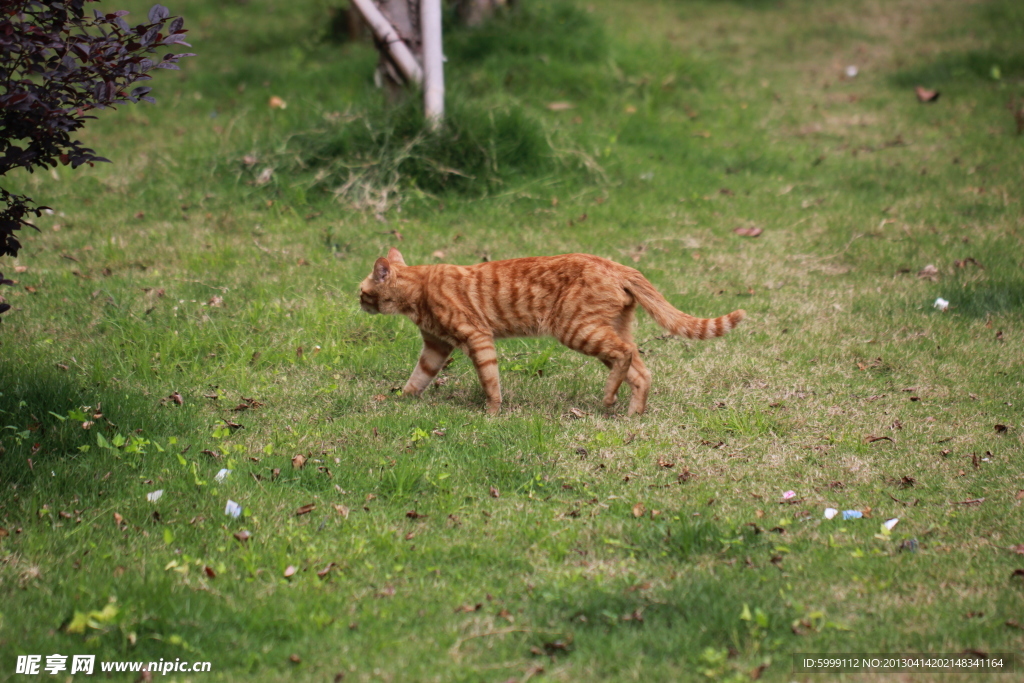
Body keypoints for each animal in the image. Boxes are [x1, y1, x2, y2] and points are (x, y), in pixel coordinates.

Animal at [360, 248, 745, 413]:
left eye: (362, 291)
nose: (358, 302)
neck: (420, 290)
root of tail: (616, 264)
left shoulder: (477, 337)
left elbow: (490, 381)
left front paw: (492, 414)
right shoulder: (436, 347)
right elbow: (416, 379)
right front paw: (397, 399)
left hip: (577, 330)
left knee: (626, 356)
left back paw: (609, 399)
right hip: (606, 330)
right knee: (641, 371)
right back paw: (631, 413)